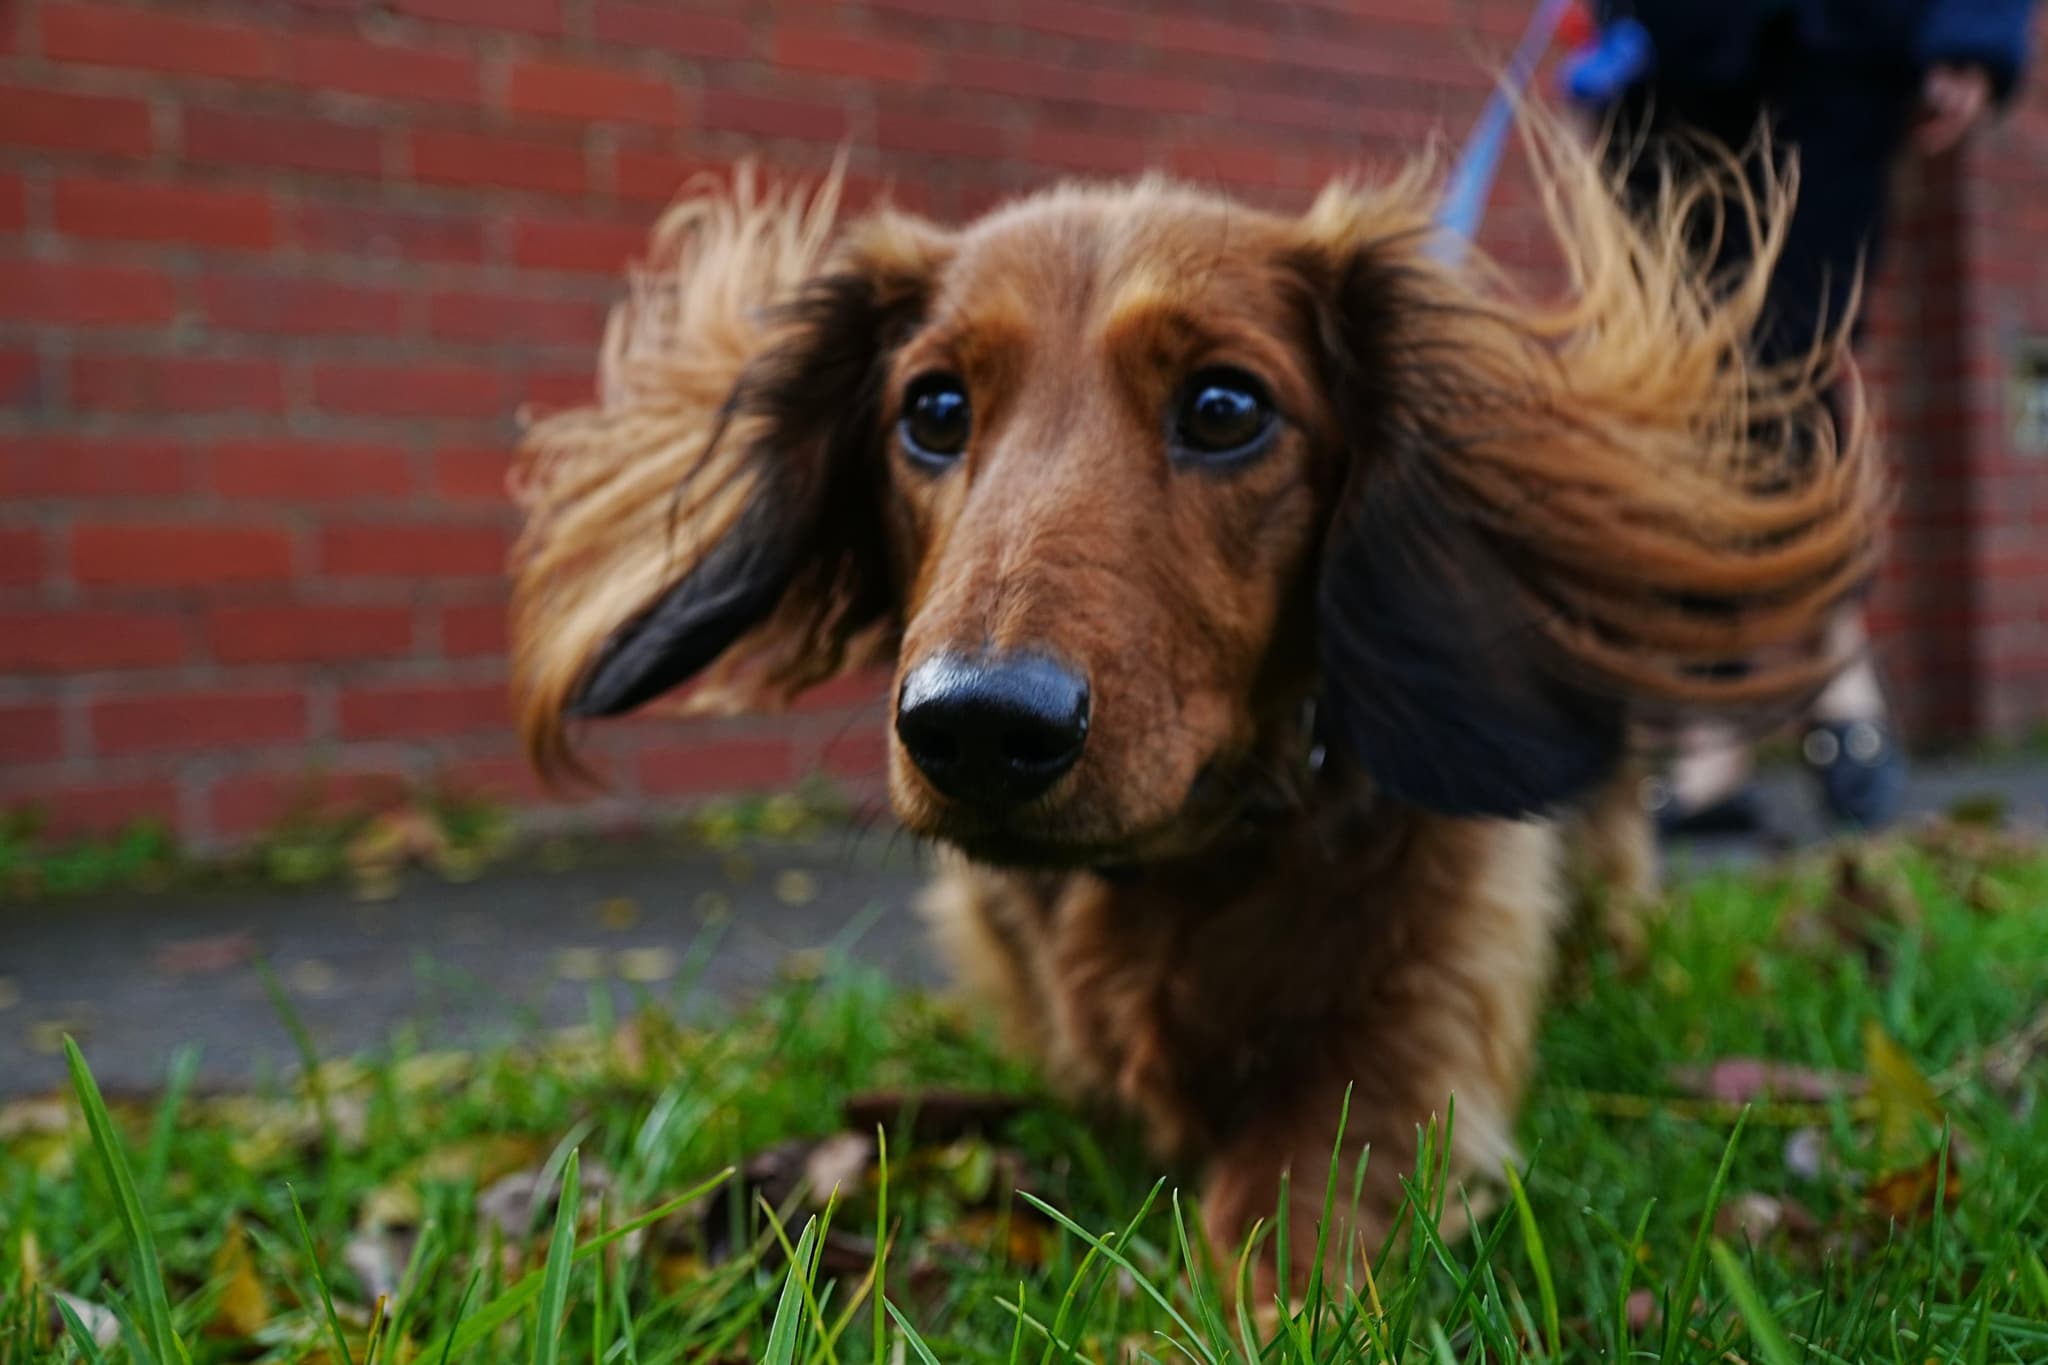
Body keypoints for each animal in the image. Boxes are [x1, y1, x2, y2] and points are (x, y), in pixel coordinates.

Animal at [507, 112, 1875, 1285]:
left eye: (1224, 408)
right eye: (933, 408)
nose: (977, 726)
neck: (1180, 868)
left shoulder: (1420, 1032)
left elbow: (1291, 1205)